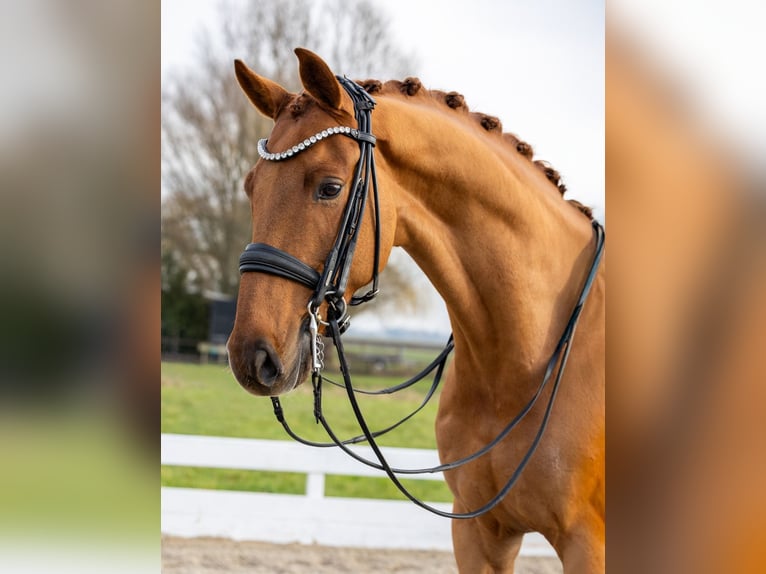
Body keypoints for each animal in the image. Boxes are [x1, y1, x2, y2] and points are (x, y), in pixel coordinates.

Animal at [226, 48, 605, 573]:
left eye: (330, 187)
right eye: (251, 186)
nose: (251, 356)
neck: (524, 361)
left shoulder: (589, 544)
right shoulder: (479, 532)